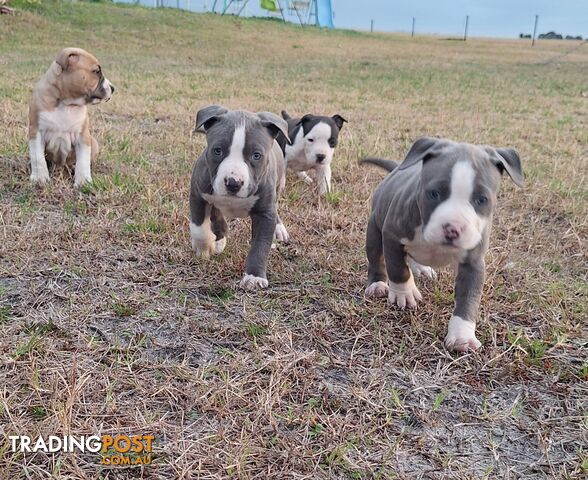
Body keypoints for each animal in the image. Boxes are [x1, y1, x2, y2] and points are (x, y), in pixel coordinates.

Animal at [28, 46, 115, 186]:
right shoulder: (36, 132)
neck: (66, 104)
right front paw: (40, 178)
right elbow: (37, 157)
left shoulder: (83, 136)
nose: (113, 88)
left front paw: (83, 181)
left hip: (94, 142)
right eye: (96, 71)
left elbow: (83, 160)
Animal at [189, 106, 290, 288]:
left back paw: (279, 230)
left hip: (279, 186)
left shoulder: (265, 213)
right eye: (217, 150)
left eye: (256, 155)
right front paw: (205, 248)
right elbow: (199, 228)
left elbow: (260, 245)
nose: (233, 183)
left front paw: (254, 277)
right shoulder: (198, 195)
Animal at [362, 138, 524, 352]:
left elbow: (469, 298)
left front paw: (462, 336)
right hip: (374, 228)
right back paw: (378, 285)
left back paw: (421, 269)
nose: (452, 229)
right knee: (377, 258)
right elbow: (398, 268)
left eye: (482, 199)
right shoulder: (391, 235)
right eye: (434, 193)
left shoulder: (473, 262)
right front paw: (405, 293)